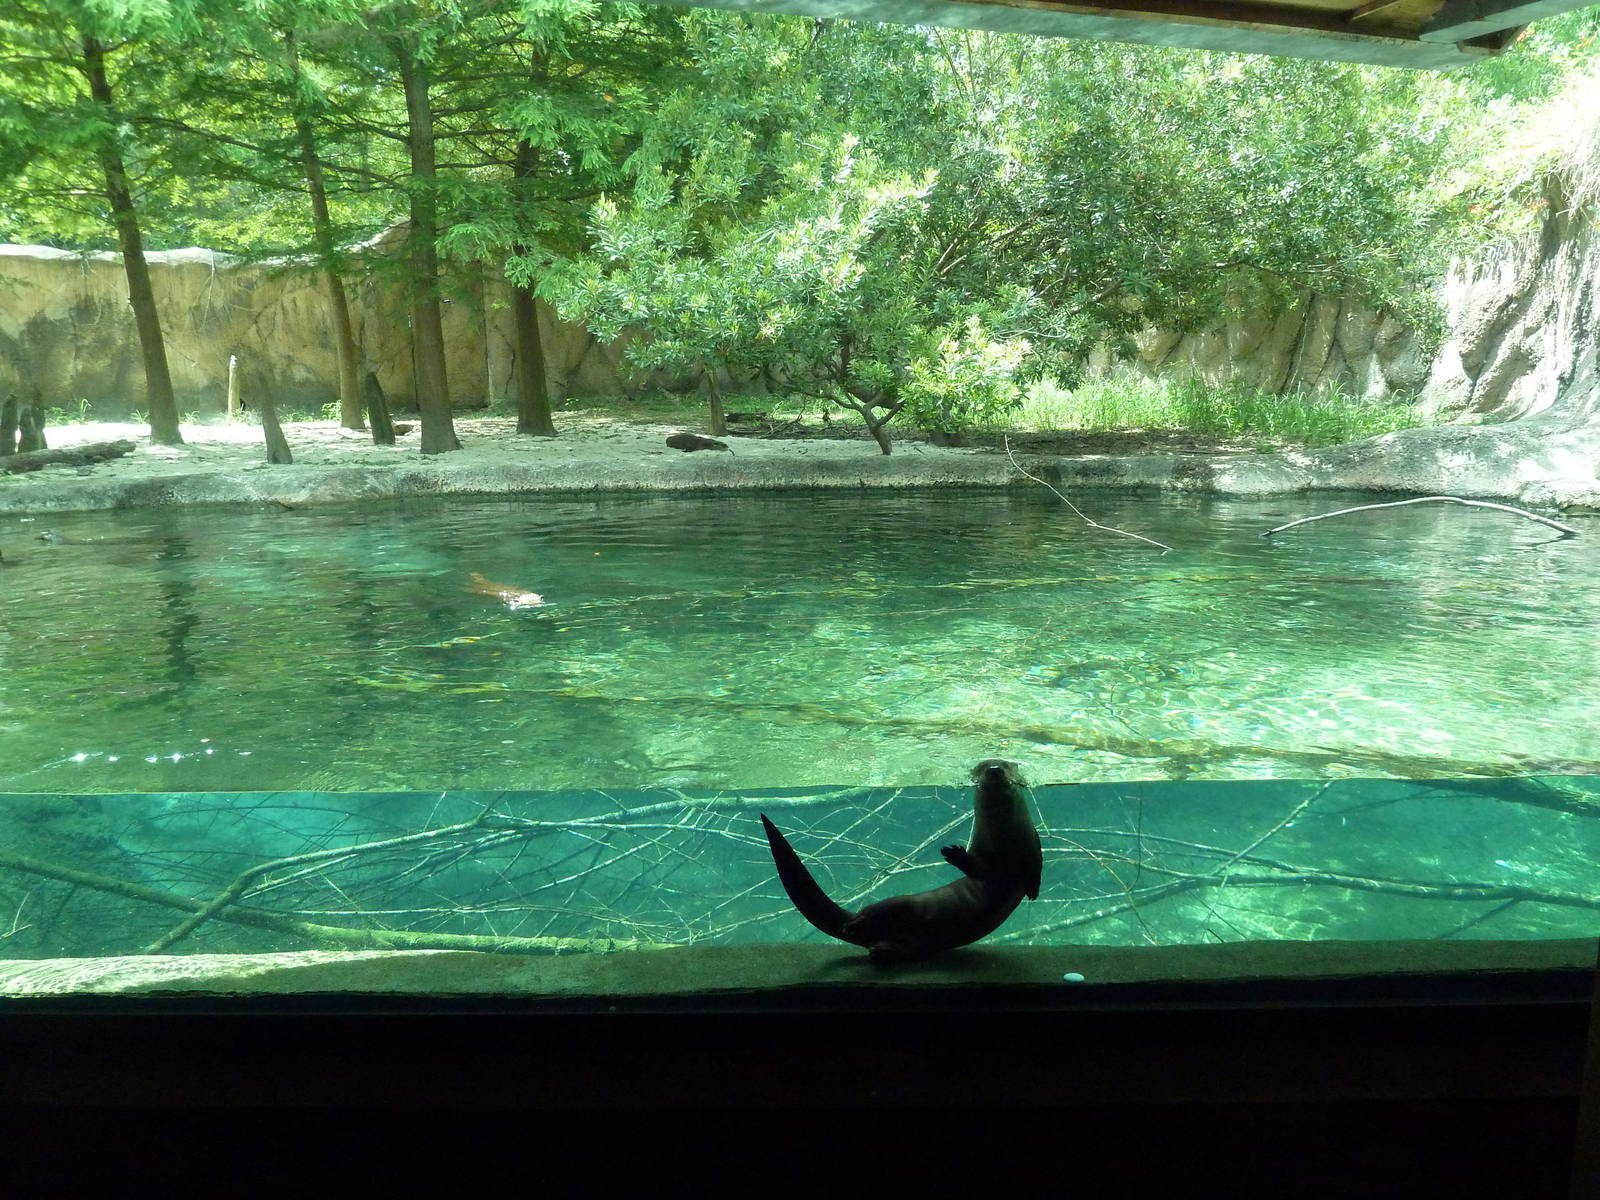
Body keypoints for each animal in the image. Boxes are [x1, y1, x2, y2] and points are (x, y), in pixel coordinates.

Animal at [761, 759, 1042, 962]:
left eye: (1007, 764)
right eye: (981, 767)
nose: (994, 769)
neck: (1002, 837)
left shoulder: (1032, 840)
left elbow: (1036, 866)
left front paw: (1033, 891)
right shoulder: (981, 850)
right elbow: (979, 871)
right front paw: (954, 854)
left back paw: (880, 949)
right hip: (899, 903)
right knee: (873, 911)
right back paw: (854, 927)